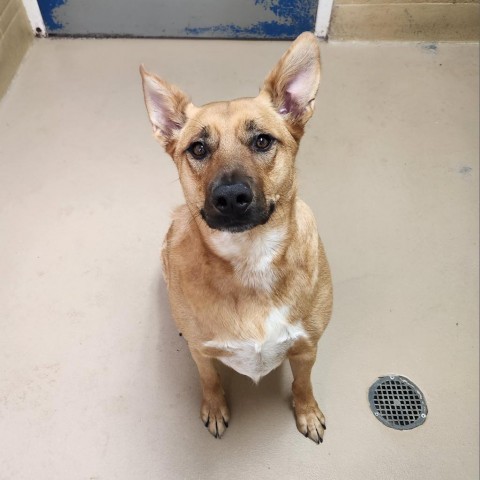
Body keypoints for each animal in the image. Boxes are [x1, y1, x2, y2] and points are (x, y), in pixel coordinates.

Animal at [141, 31, 332, 444]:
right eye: (198, 148)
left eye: (262, 141)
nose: (230, 197)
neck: (250, 259)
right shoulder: (202, 353)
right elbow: (209, 379)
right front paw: (215, 408)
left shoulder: (307, 347)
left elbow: (303, 384)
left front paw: (307, 412)